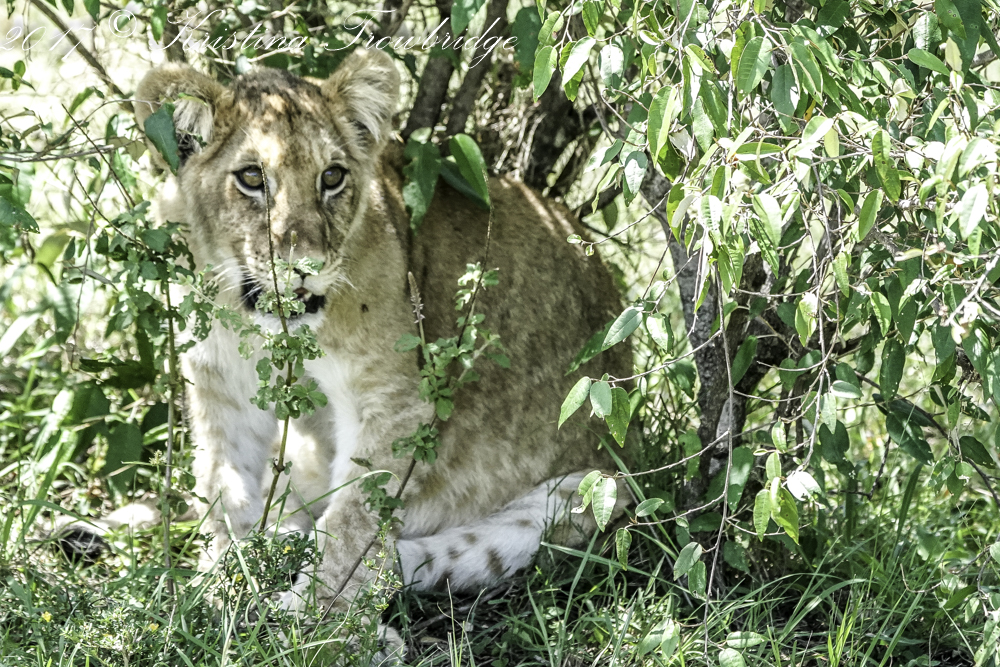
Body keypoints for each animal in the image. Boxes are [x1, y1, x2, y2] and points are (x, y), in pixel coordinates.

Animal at [128, 46, 631, 617]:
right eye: (252, 178)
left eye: (332, 177)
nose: (304, 267)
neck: (257, 321)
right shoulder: (220, 381)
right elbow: (224, 482)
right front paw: (223, 581)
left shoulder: (393, 399)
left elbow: (353, 520)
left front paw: (314, 618)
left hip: (597, 486)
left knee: (417, 555)